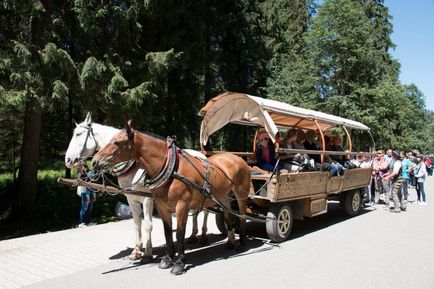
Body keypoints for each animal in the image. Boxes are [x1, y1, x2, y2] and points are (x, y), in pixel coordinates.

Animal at [64, 112, 210, 258]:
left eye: (78, 134)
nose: (68, 160)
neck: (133, 165)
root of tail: (202, 155)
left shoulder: (147, 198)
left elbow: (148, 224)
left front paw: (148, 252)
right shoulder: (131, 197)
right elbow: (136, 222)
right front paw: (136, 250)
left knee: (206, 212)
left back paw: (203, 235)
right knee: (195, 212)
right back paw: (193, 235)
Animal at [91, 120, 251, 274]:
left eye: (117, 142)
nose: (94, 161)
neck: (172, 169)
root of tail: (237, 158)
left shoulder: (181, 206)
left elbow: (179, 234)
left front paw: (179, 263)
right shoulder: (162, 207)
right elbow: (168, 233)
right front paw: (167, 259)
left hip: (241, 194)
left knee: (242, 215)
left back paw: (242, 242)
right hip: (223, 197)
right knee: (228, 216)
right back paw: (230, 242)